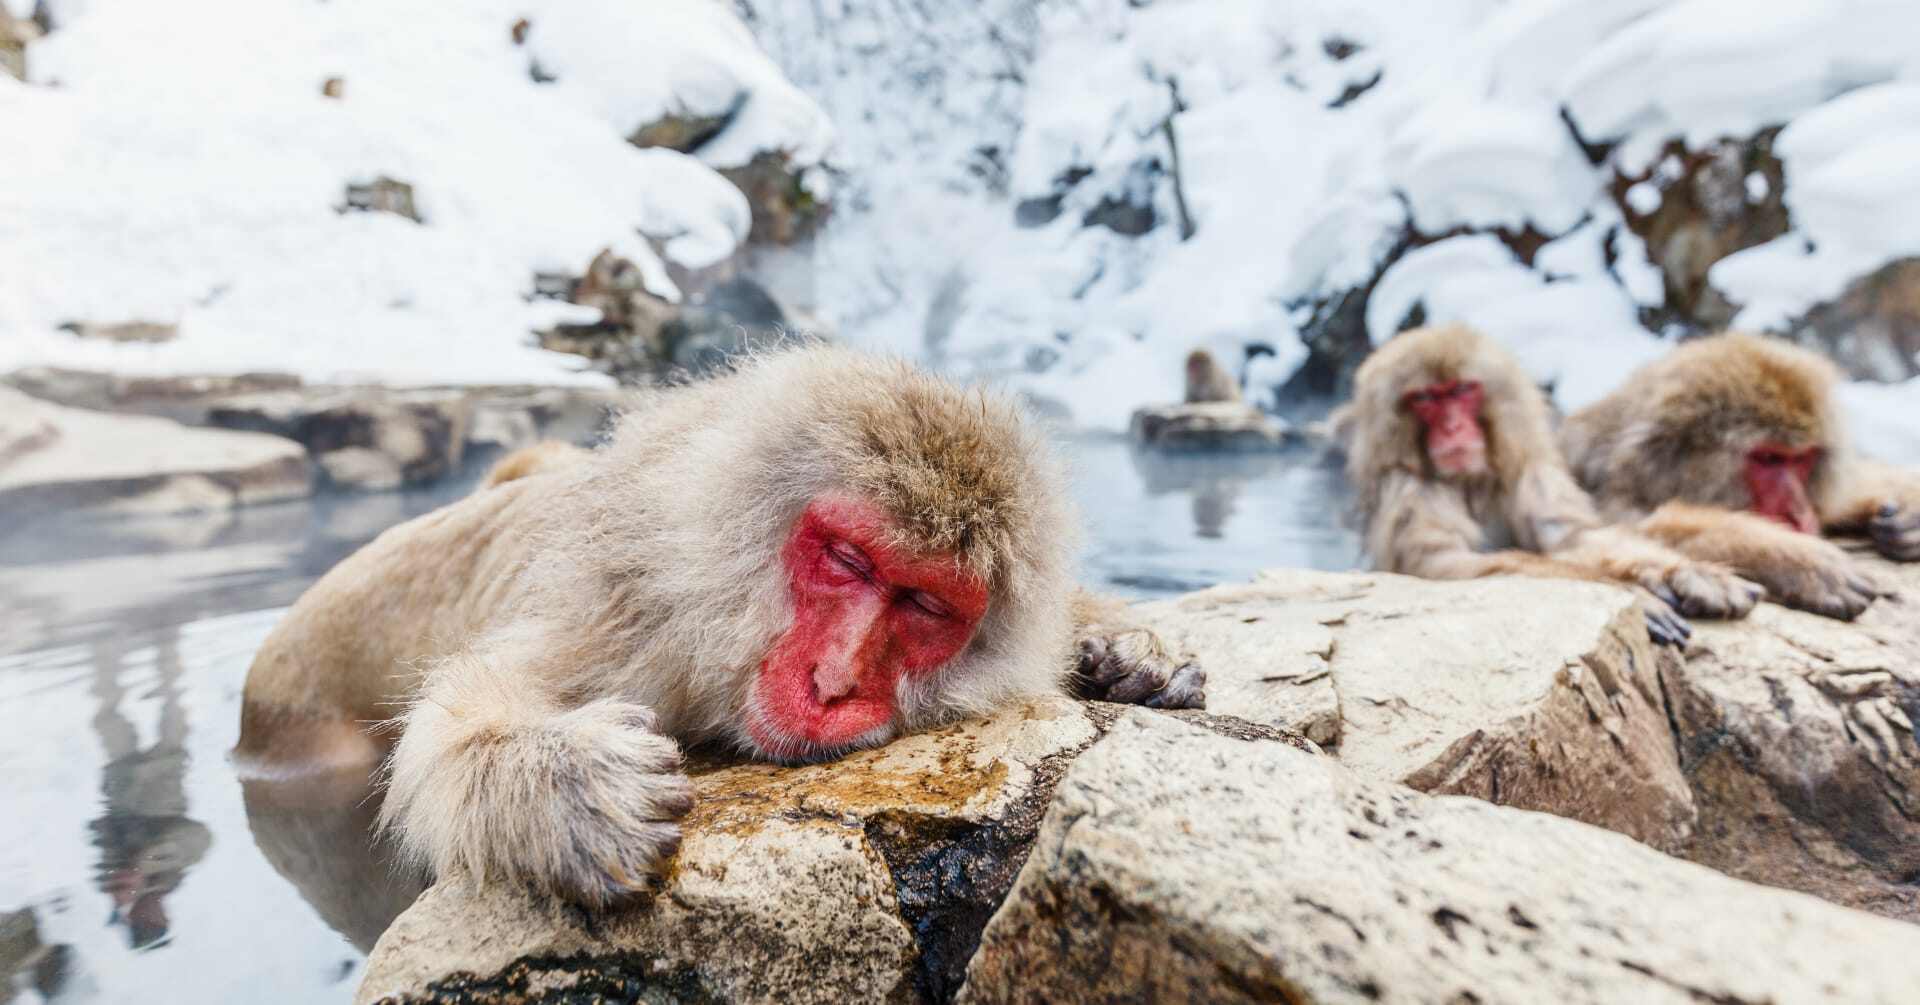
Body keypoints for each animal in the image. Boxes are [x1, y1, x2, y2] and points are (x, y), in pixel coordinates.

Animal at [232, 345, 1198, 910]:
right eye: (848, 561)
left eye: (924, 605)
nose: (836, 680)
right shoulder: (627, 622)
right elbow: (459, 718)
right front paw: (563, 783)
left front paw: (1130, 649)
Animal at [1328, 326, 1758, 649]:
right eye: (1425, 399)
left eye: (1462, 390)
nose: (1452, 427)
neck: (1468, 481)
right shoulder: (1408, 488)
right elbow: (1440, 564)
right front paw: (1631, 594)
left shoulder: (1529, 471)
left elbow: (1573, 538)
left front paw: (1686, 572)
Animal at [1559, 334, 1920, 622]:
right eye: (1770, 459)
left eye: (1802, 459)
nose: (1799, 515)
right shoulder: (1609, 496)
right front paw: (1795, 559)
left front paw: (1908, 509)